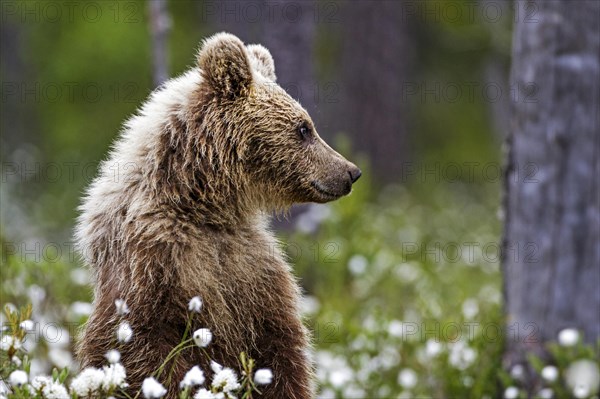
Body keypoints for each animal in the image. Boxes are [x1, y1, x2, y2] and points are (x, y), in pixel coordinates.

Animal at [77, 33, 360, 399]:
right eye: (303, 128)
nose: (351, 172)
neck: (204, 205)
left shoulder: (253, 272)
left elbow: (281, 351)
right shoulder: (154, 266)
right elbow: (147, 351)